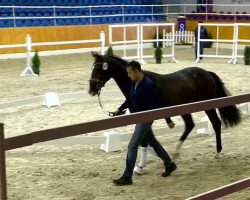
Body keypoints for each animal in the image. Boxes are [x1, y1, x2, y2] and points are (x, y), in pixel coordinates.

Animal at [89, 52, 241, 158]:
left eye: (100, 69)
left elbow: (145, 141)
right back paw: (175, 152)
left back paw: (217, 152)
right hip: (186, 109)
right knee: (190, 125)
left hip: (208, 107)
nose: (91, 89)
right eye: (92, 67)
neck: (138, 83)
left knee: (216, 123)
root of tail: (207, 73)